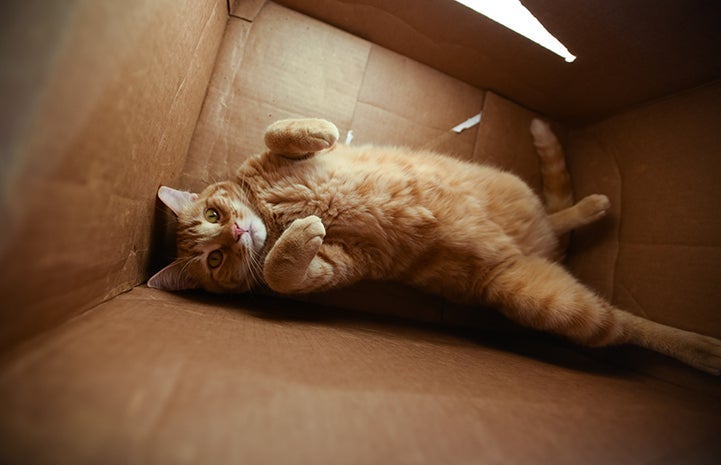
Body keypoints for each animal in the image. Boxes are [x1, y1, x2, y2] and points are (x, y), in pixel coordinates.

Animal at [148, 117, 720, 374]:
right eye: (215, 258)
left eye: (215, 215)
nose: (237, 235)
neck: (270, 213)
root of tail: (543, 251)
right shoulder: (334, 265)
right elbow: (284, 271)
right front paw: (302, 233)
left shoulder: (272, 158)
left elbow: (279, 131)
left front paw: (324, 129)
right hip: (542, 299)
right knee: (626, 324)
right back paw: (706, 350)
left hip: (519, 199)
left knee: (558, 218)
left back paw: (591, 205)